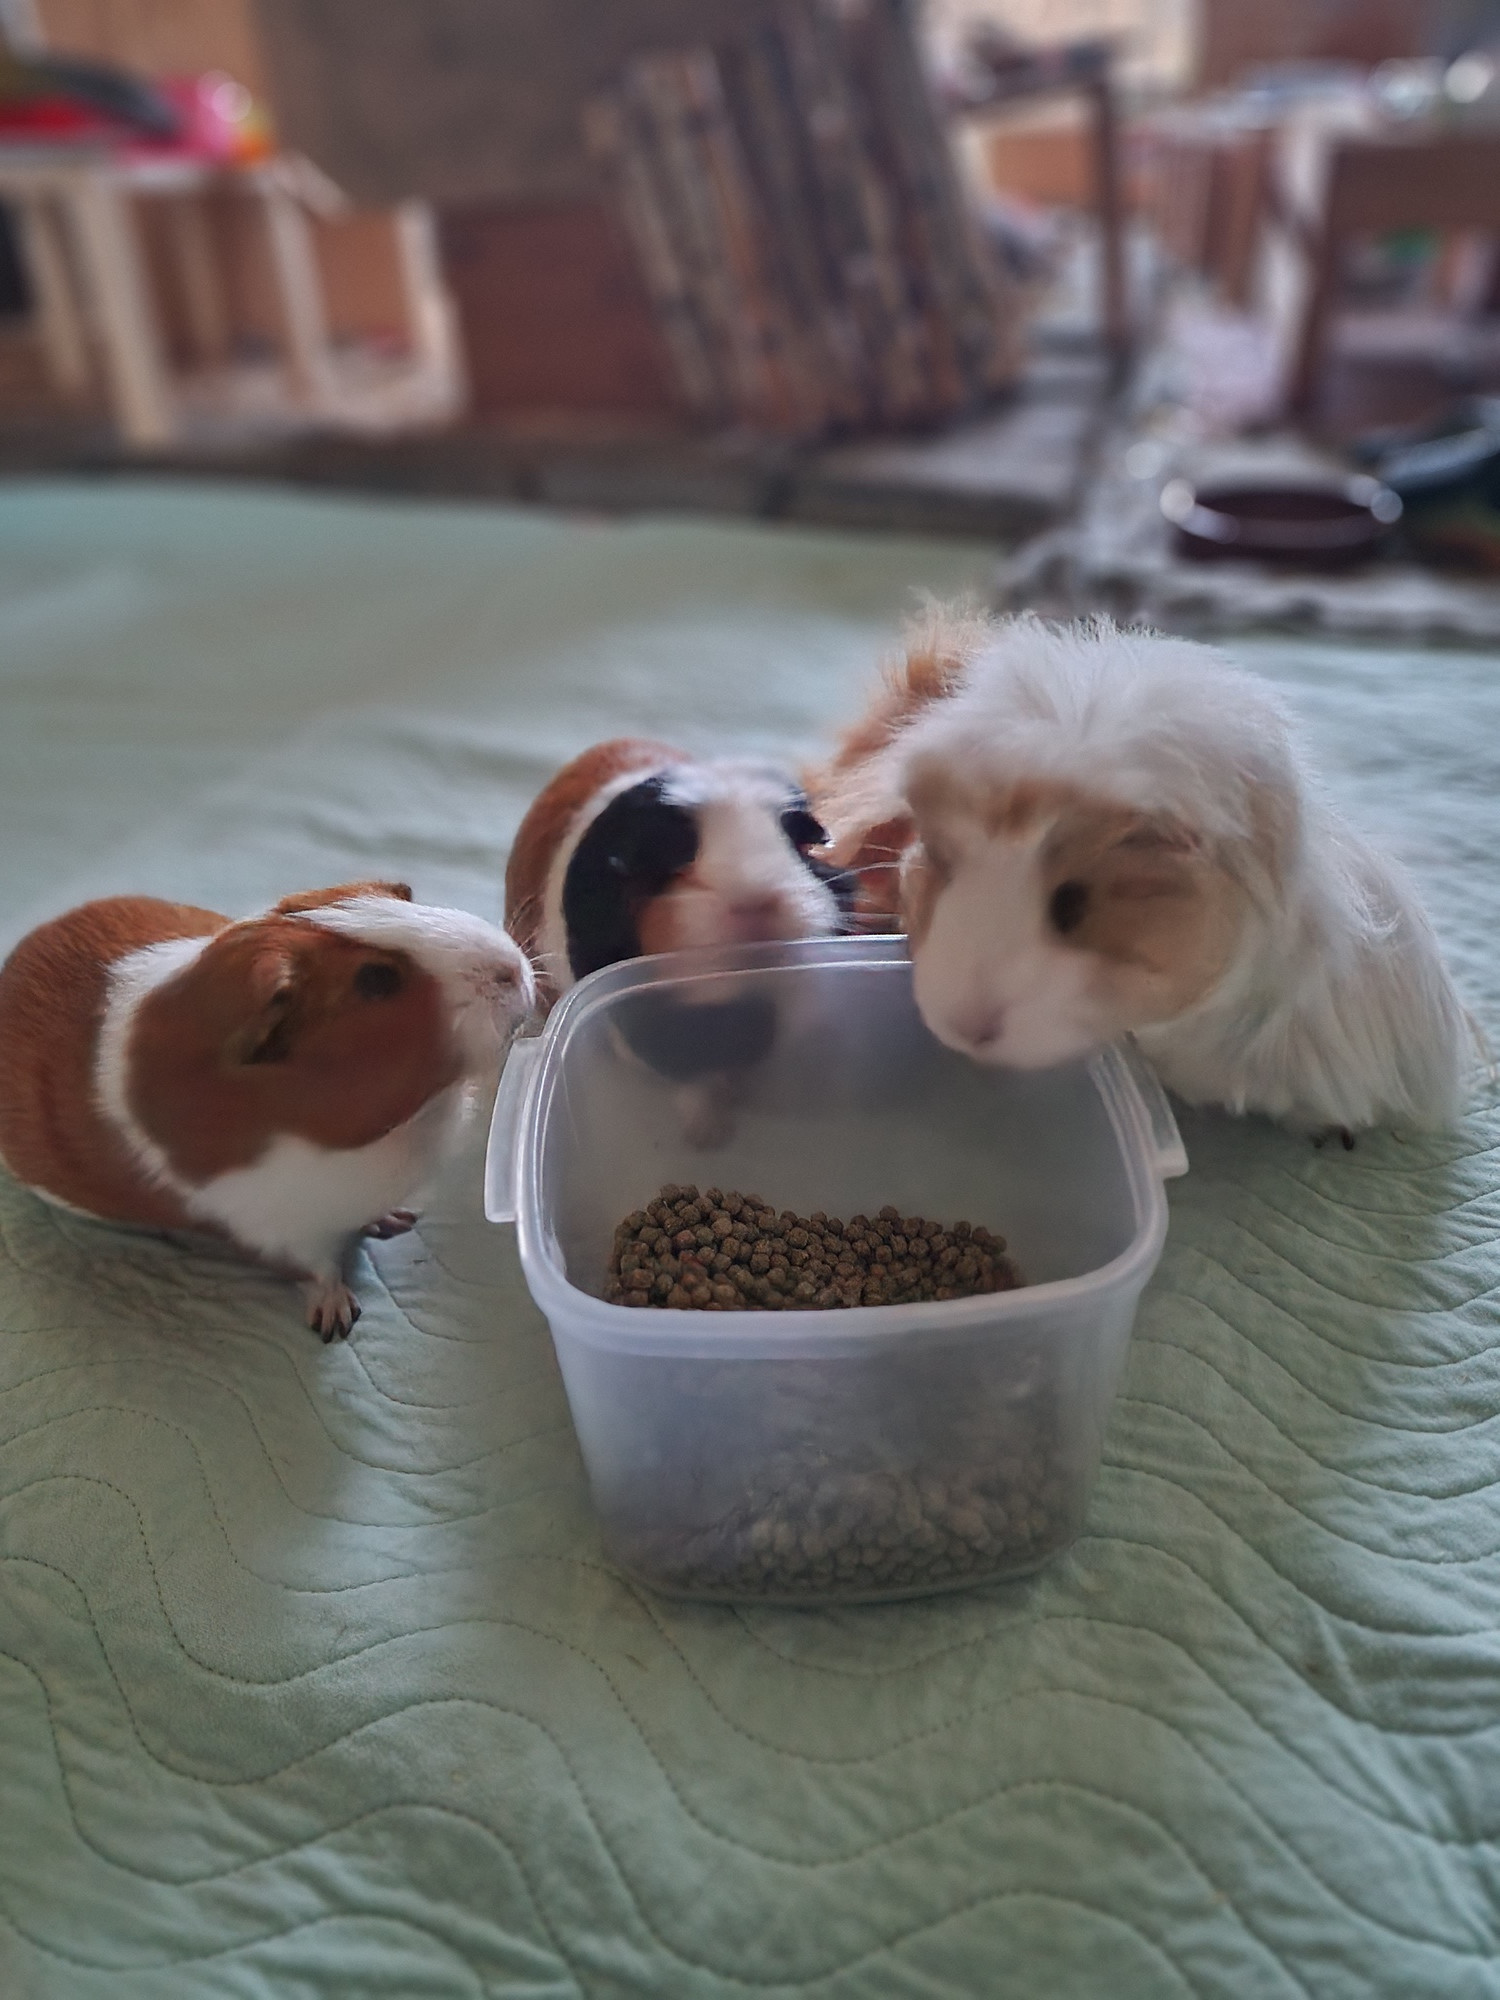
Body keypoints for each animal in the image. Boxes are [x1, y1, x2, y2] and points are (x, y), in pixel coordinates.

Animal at [0, 881, 534, 1337]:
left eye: (405, 902)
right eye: (376, 979)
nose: (513, 967)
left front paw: (397, 1220)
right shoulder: (275, 1233)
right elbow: (317, 1271)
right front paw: (336, 1321)